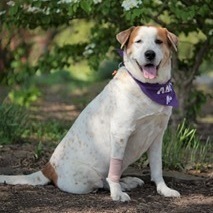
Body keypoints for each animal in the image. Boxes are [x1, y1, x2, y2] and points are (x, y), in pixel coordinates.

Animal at [0, 25, 180, 201]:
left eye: (158, 42)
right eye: (138, 41)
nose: (150, 54)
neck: (147, 87)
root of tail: (48, 169)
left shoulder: (157, 135)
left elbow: (157, 167)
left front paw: (163, 189)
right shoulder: (121, 133)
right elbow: (114, 171)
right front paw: (117, 194)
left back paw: (127, 182)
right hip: (88, 177)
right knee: (102, 181)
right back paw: (121, 185)